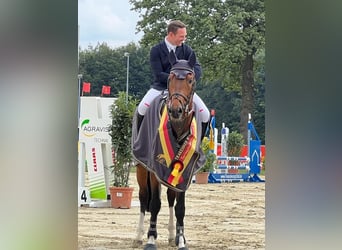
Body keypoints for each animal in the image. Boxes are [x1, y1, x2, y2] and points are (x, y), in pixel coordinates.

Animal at [131, 50, 206, 250]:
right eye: (170, 78)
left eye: (190, 79)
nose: (175, 110)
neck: (178, 125)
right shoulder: (155, 168)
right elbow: (155, 204)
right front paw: (151, 239)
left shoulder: (185, 170)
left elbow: (180, 207)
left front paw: (181, 240)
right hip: (142, 167)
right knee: (144, 199)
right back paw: (138, 236)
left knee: (171, 198)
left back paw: (173, 236)